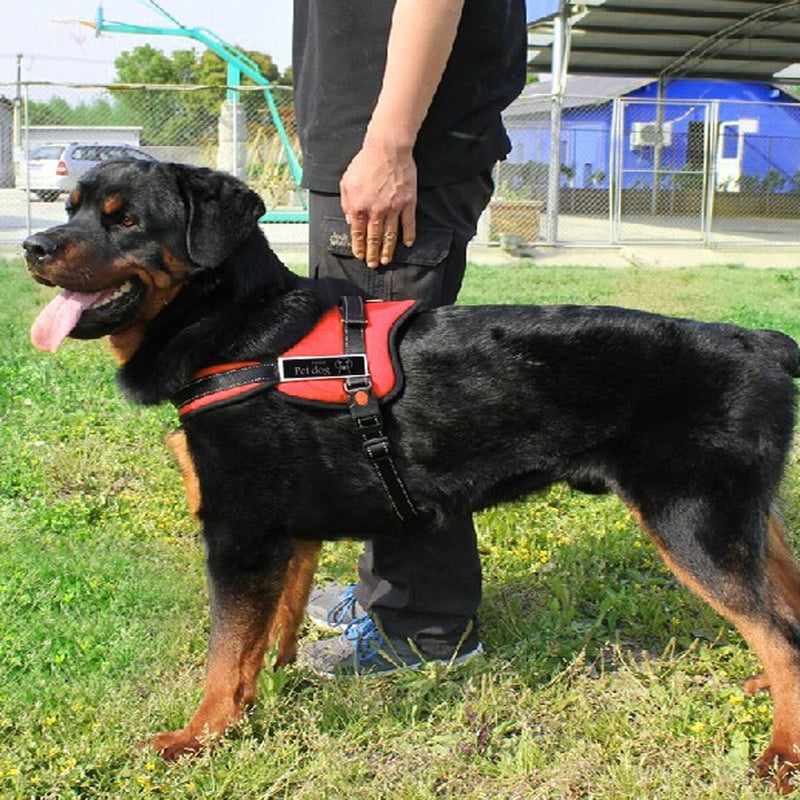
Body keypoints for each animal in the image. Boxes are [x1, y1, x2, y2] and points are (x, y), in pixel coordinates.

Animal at [21, 161, 800, 788]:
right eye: (71, 207)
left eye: (125, 220)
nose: (33, 247)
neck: (243, 333)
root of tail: (764, 342)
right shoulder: (288, 536)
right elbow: (267, 636)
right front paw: (267, 694)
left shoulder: (239, 535)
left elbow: (223, 653)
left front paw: (200, 737)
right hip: (749, 524)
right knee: (786, 618)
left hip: (694, 526)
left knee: (781, 638)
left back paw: (781, 757)